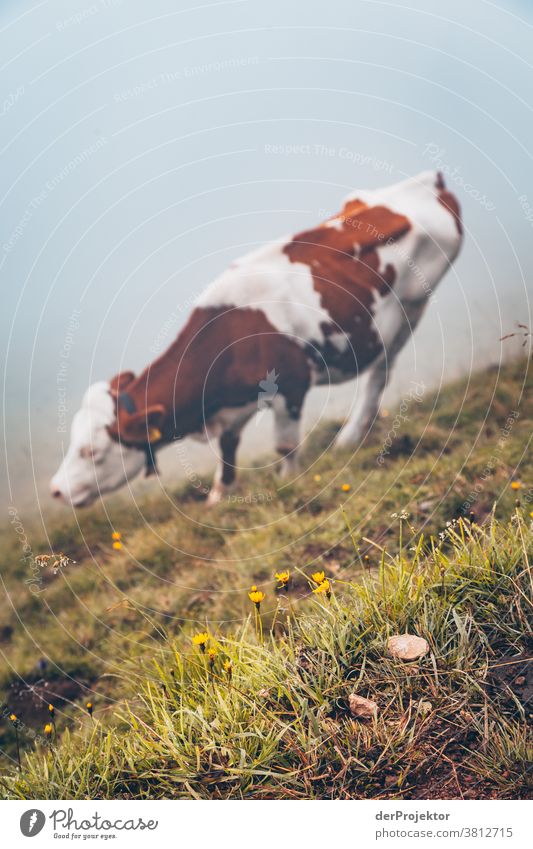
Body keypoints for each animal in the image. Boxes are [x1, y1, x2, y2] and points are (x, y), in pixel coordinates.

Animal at [52, 169, 464, 506]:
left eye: (91, 451)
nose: (55, 489)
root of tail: (425, 182)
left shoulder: (292, 386)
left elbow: (284, 445)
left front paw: (288, 481)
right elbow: (228, 445)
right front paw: (220, 493)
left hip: (412, 307)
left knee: (380, 373)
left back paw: (349, 438)